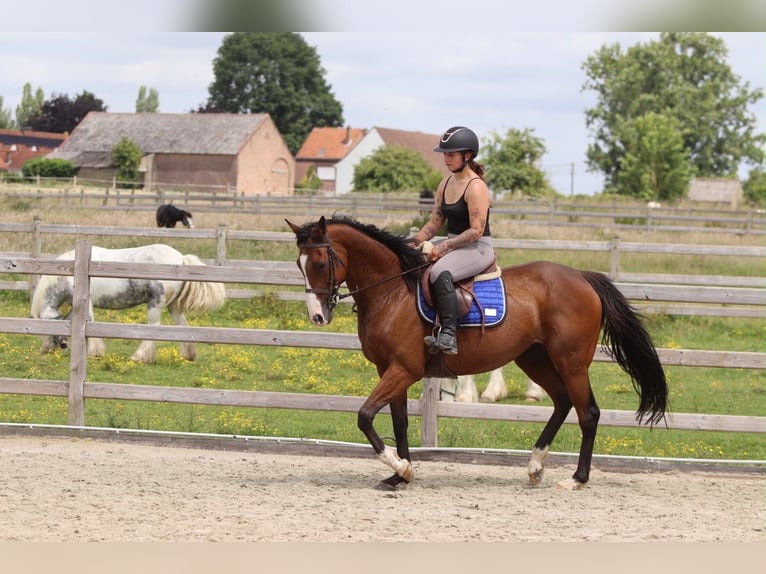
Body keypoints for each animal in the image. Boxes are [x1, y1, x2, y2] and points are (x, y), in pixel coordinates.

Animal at [30, 244, 225, 364]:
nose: (56, 346)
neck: (68, 275)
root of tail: (180, 259)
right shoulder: (75, 305)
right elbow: (70, 319)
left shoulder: (87, 302)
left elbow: (90, 323)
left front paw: (95, 352)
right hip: (173, 307)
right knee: (182, 326)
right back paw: (188, 355)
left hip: (155, 305)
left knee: (153, 329)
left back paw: (139, 357)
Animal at [287, 215, 668, 491]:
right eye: (299, 263)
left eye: (320, 262)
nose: (318, 316)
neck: (392, 290)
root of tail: (582, 277)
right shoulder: (389, 369)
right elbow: (399, 422)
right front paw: (400, 475)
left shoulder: (403, 369)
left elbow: (365, 416)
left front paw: (401, 467)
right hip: (533, 358)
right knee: (562, 402)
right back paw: (535, 466)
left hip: (571, 361)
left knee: (588, 412)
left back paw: (576, 479)